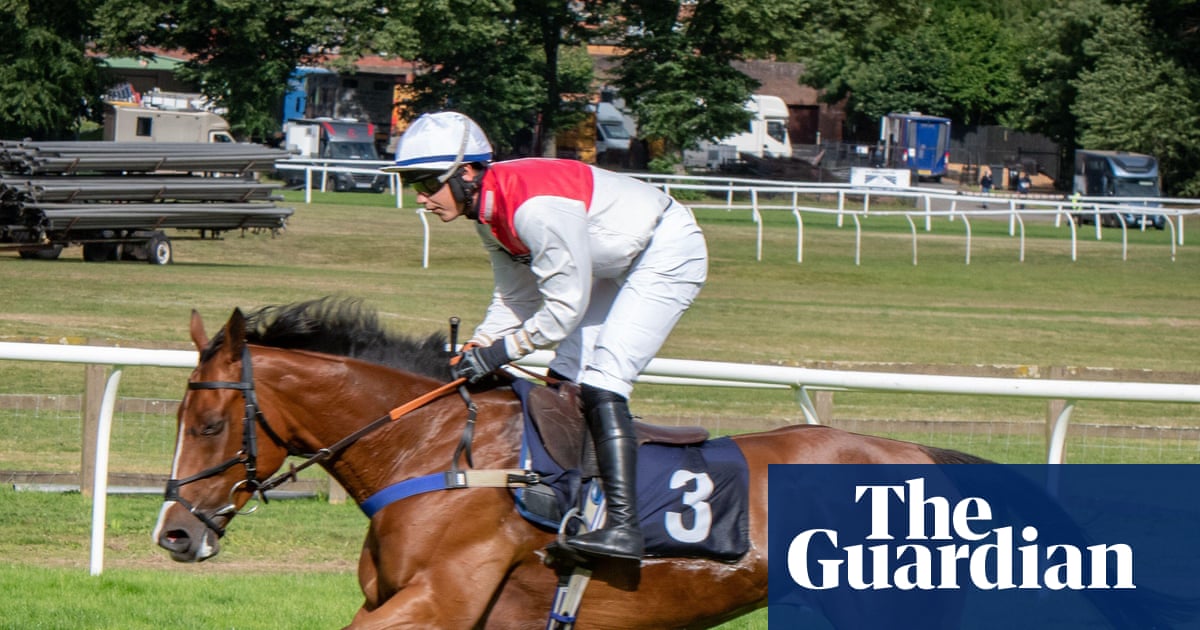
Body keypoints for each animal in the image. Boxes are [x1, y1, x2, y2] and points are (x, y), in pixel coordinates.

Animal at [153, 297, 994, 629]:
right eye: (179, 420)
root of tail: (923, 455)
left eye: (211, 423)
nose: (173, 534)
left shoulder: (442, 601)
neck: (433, 450)